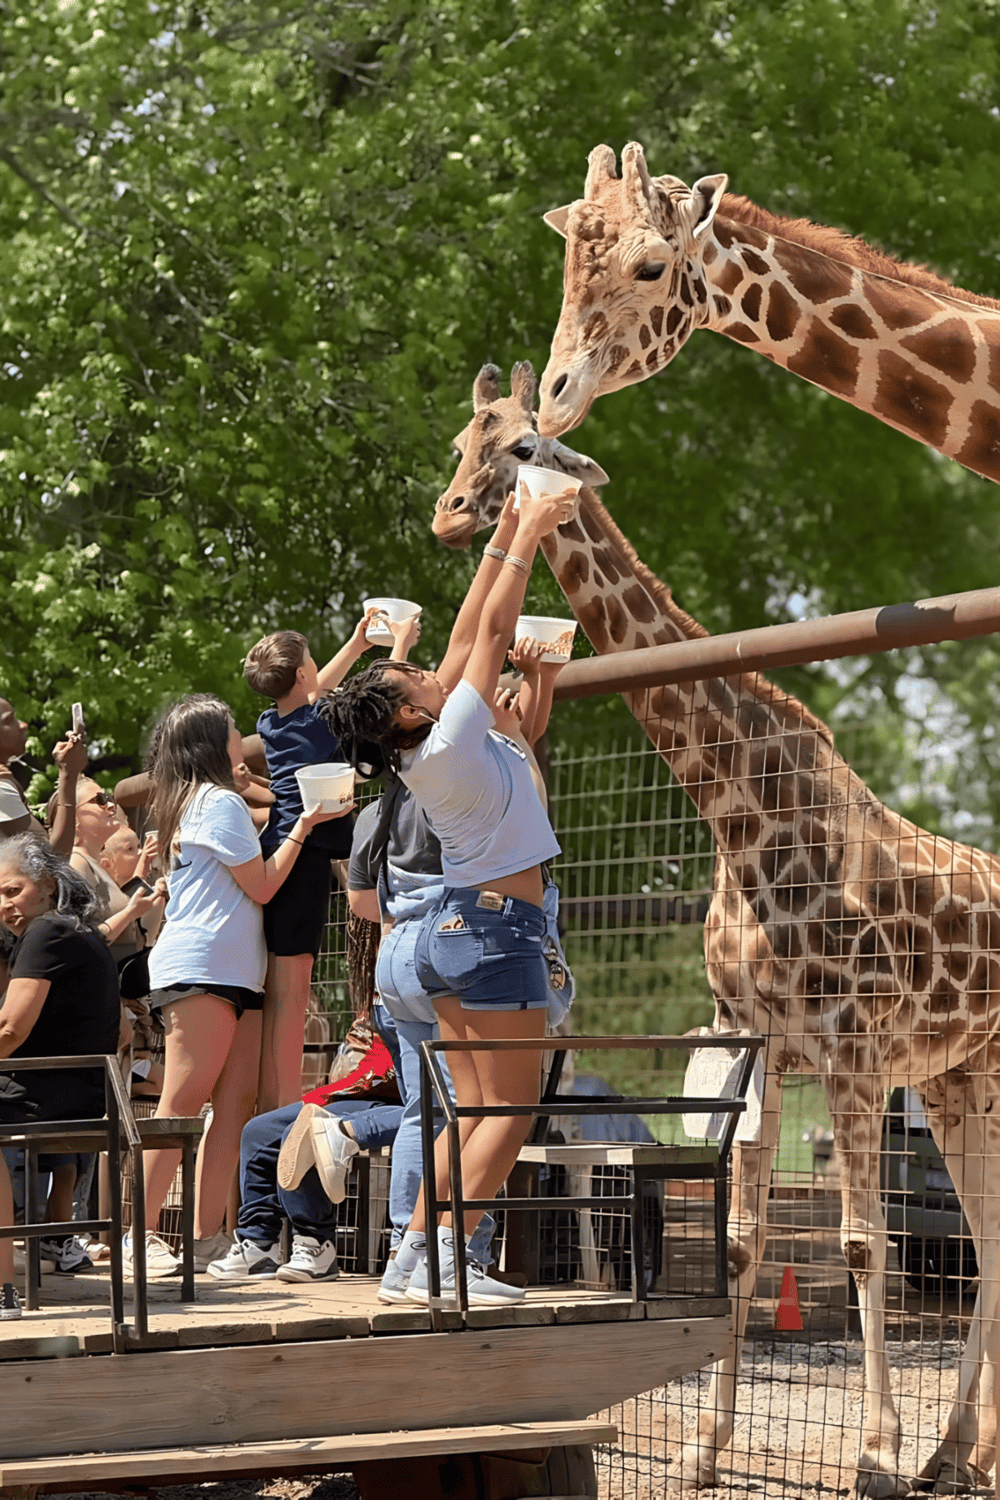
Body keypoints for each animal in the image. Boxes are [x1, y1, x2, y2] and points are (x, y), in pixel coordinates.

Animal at [434, 362, 1000, 1498]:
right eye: (462, 439)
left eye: (521, 447)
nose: (448, 511)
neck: (741, 814)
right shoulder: (759, 1040)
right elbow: (740, 1238)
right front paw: (705, 1446)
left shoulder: (851, 1046)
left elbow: (865, 1241)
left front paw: (874, 1454)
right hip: (957, 1079)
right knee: (997, 1243)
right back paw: (958, 1451)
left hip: (982, 1072)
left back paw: (945, 1452)